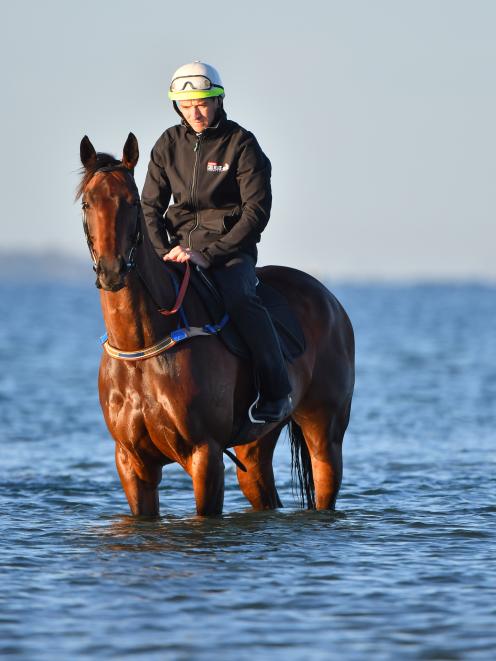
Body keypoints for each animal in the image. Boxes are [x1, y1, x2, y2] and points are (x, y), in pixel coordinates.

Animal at [76, 133, 356, 516]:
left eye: (131, 202)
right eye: (87, 203)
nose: (112, 271)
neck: (143, 346)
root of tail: (330, 302)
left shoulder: (204, 454)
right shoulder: (132, 464)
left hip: (325, 433)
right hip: (255, 447)